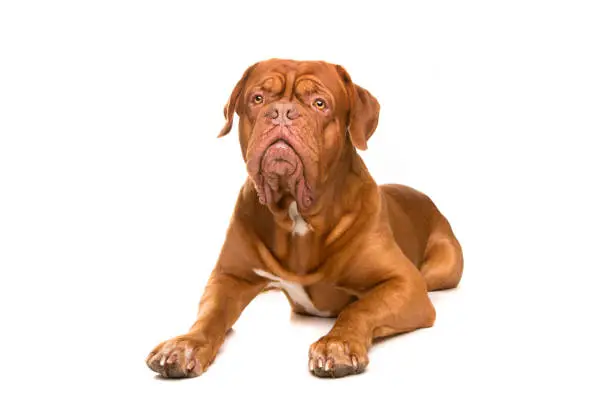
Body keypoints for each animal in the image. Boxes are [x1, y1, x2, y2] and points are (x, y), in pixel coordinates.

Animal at [147, 58, 464, 380]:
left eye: (319, 103)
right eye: (257, 99)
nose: (281, 112)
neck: (296, 213)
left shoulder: (405, 283)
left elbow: (360, 308)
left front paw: (337, 344)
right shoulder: (230, 276)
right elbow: (211, 313)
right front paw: (185, 345)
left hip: (443, 266)